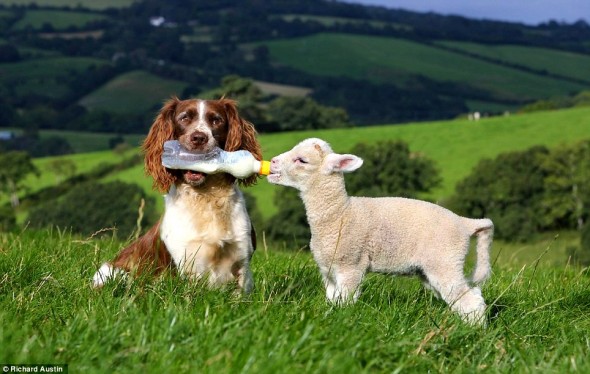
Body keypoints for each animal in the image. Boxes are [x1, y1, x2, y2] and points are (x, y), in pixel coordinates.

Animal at [93, 97, 264, 292]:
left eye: (216, 120)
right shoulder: (184, 265)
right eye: (184, 118)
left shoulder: (242, 260)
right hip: (112, 272)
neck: (205, 198)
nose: (199, 138)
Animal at [270, 137, 498, 324]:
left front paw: (342, 320)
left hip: (445, 261)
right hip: (433, 268)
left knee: (470, 300)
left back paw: (474, 332)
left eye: (302, 160)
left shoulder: (351, 265)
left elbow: (345, 301)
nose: (271, 162)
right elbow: (332, 300)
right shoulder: (327, 269)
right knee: (469, 297)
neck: (340, 213)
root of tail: (465, 223)